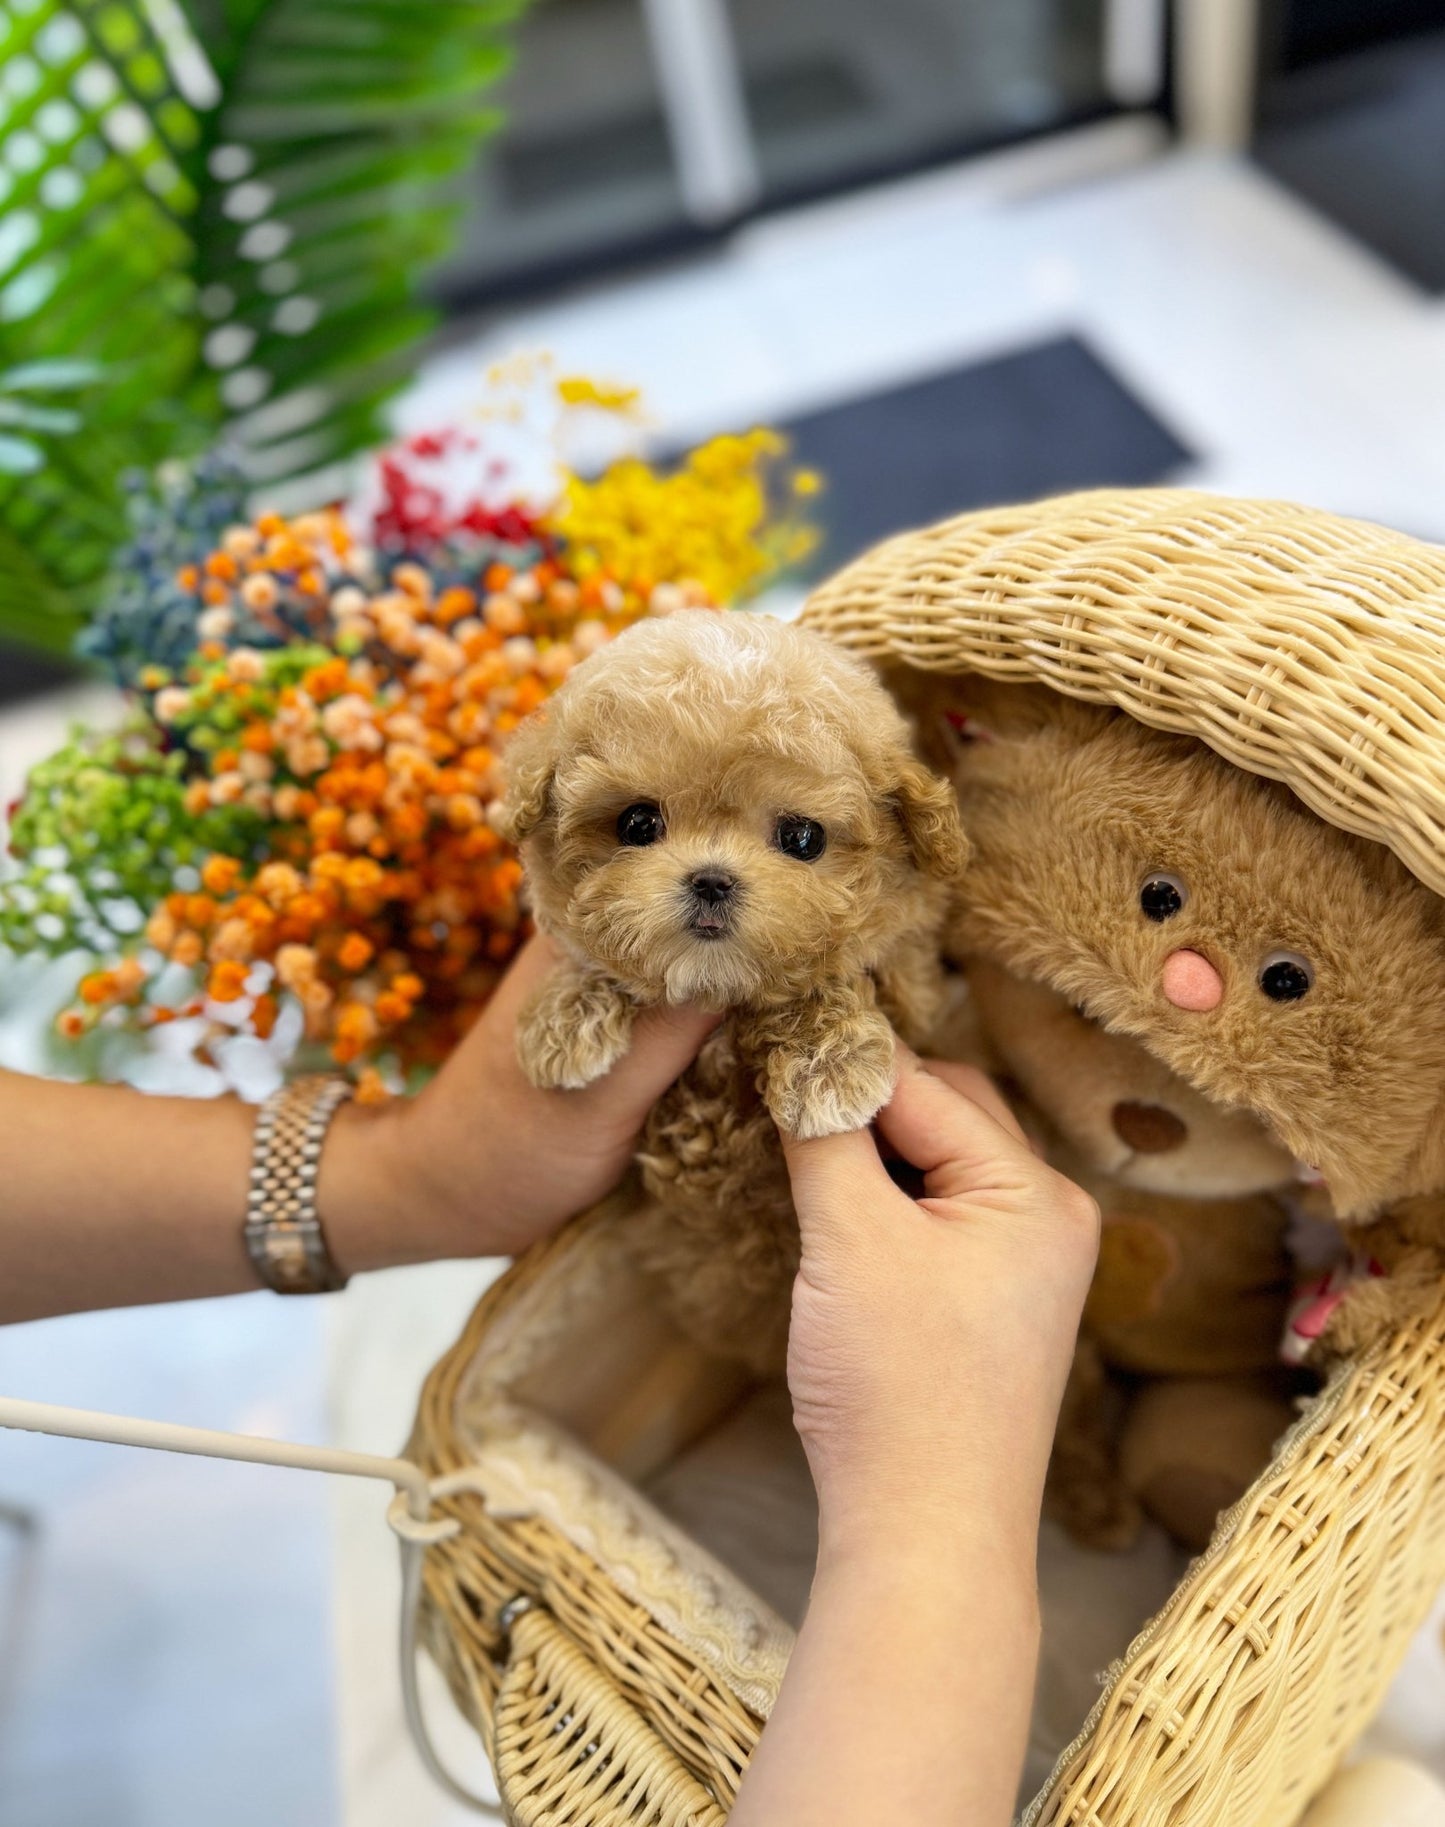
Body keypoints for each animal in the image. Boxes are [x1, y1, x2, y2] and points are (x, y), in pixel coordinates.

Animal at [500, 613, 971, 1373]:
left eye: (802, 837)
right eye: (637, 824)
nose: (712, 880)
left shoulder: (912, 990)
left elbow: (825, 987)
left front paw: (826, 1064)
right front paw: (565, 1017)